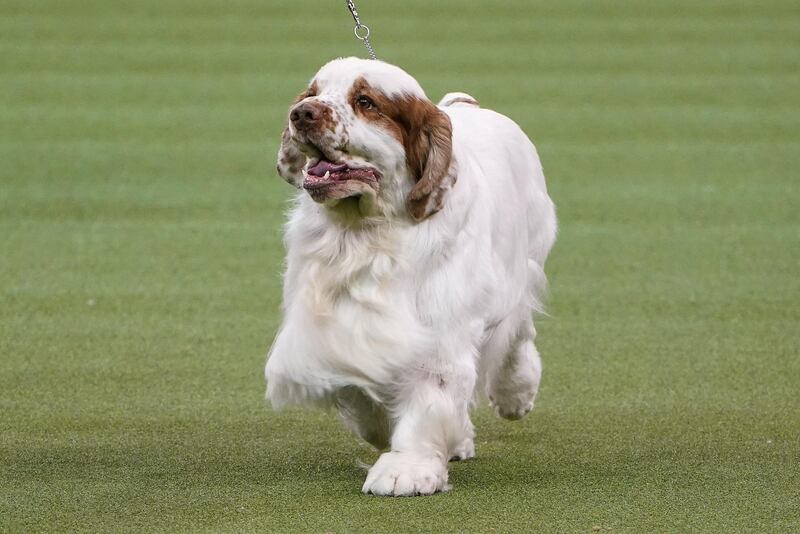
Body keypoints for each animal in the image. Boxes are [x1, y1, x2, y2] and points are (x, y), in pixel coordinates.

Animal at [266, 58, 552, 498]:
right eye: (312, 92)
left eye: (366, 102)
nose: (301, 113)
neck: (365, 234)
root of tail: (463, 104)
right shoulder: (339, 330)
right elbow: (363, 396)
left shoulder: (439, 330)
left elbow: (430, 399)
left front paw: (407, 470)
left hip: (524, 265)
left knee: (518, 336)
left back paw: (515, 395)